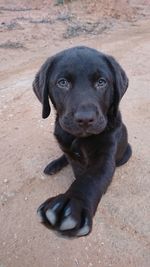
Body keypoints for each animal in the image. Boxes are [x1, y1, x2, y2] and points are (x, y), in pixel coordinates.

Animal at [32, 46, 131, 239]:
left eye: (101, 82)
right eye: (62, 82)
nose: (85, 119)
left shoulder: (105, 156)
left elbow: (90, 177)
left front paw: (74, 201)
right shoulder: (70, 153)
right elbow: (77, 170)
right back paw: (53, 165)